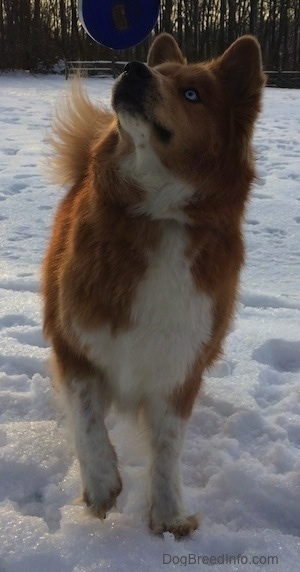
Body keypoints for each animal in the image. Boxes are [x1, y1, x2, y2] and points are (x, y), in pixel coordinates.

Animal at [42, 33, 264, 540]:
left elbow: (167, 448)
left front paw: (168, 514)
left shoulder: (179, 361)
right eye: (160, 73)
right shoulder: (73, 339)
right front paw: (101, 482)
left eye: (192, 94)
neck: (159, 215)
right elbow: (86, 419)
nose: (133, 69)